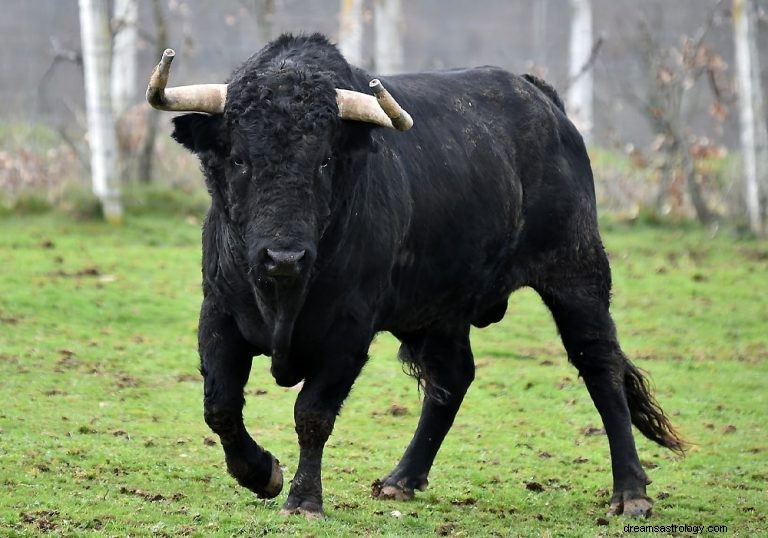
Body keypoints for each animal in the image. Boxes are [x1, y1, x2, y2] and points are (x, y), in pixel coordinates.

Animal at [160, 32, 684, 516]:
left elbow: (313, 415)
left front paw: (305, 499)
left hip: (578, 275)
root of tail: (545, 103)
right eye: (239, 159)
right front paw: (262, 473)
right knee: (452, 378)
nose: (283, 257)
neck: (284, 299)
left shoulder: (348, 334)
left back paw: (631, 493)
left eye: (324, 160)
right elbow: (221, 406)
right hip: (441, 310)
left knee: (601, 367)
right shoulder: (219, 315)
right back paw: (401, 479)